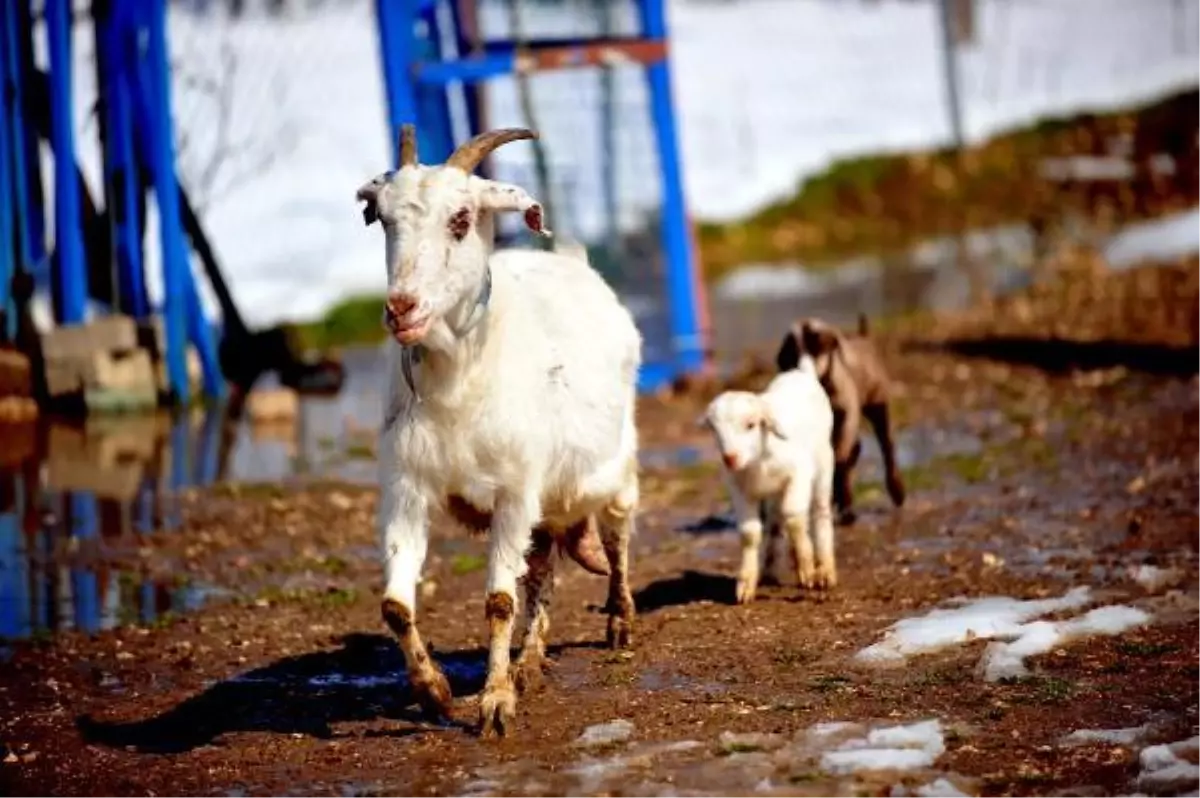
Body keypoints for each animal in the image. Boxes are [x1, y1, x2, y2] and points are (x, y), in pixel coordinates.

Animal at [352, 123, 643, 734]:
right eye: (382, 218)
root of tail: (573, 259)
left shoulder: (514, 491)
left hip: (614, 470)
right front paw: (435, 692)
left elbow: (497, 602)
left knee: (616, 536)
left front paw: (495, 703)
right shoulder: (407, 488)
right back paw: (530, 661)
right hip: (545, 501)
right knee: (542, 570)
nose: (402, 308)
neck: (457, 386)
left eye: (461, 218)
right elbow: (396, 604)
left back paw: (619, 622)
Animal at [700, 357, 835, 600]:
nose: (730, 458)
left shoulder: (799, 473)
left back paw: (825, 571)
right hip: (775, 493)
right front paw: (746, 583)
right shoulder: (738, 489)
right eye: (714, 430)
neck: (758, 461)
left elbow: (794, 516)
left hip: (824, 464)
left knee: (820, 512)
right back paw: (771, 571)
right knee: (774, 521)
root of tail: (801, 372)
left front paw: (807, 568)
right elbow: (749, 532)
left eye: (751, 424)